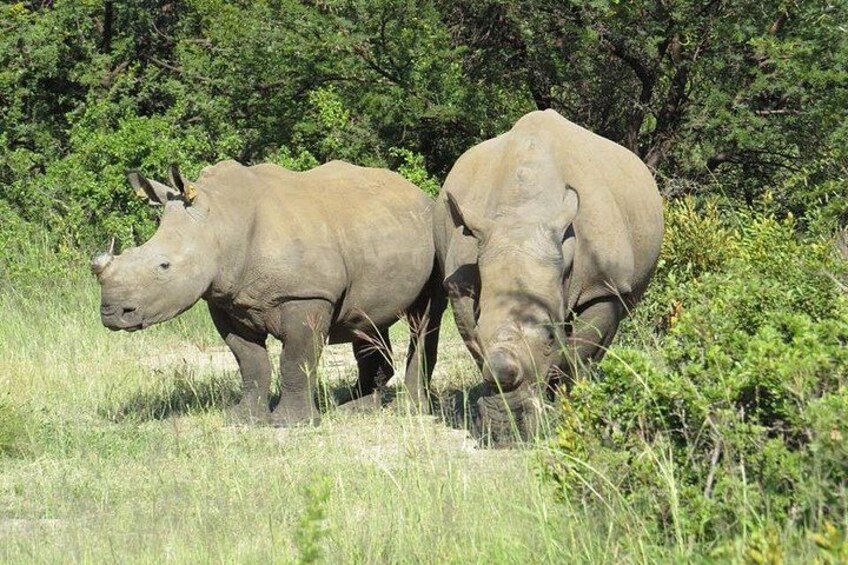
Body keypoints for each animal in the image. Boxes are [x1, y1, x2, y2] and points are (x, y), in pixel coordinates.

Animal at [92, 159, 445, 425]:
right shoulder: (225, 301)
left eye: (164, 266)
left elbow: (295, 359)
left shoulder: (306, 295)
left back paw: (408, 409)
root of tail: (418, 194)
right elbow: (250, 362)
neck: (221, 221)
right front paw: (242, 418)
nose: (112, 313)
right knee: (366, 319)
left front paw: (290, 423)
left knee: (424, 319)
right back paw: (353, 406)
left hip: (433, 232)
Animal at [433, 109, 664, 441]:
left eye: (549, 337)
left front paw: (568, 411)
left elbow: (578, 351)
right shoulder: (460, 283)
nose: (508, 435)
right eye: (479, 329)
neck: (525, 211)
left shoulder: (602, 285)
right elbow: (479, 351)